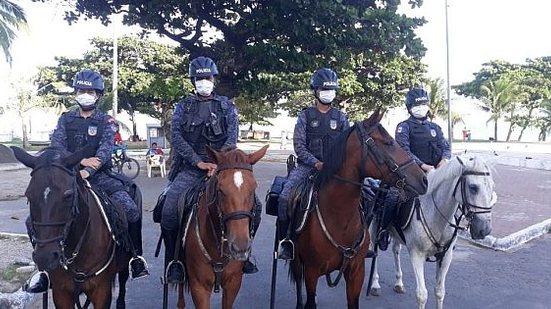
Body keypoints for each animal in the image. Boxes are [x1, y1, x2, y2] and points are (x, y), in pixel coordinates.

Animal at [292, 107, 430, 306]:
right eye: (388, 142)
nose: (424, 180)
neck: (339, 218)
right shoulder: (311, 272)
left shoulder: (356, 273)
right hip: (297, 262)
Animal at [368, 155, 498, 306]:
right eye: (473, 187)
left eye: (492, 186)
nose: (485, 229)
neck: (435, 214)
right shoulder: (417, 255)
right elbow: (422, 295)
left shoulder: (445, 257)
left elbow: (439, 292)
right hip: (374, 229)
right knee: (375, 252)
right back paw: (375, 284)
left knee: (396, 250)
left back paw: (399, 283)